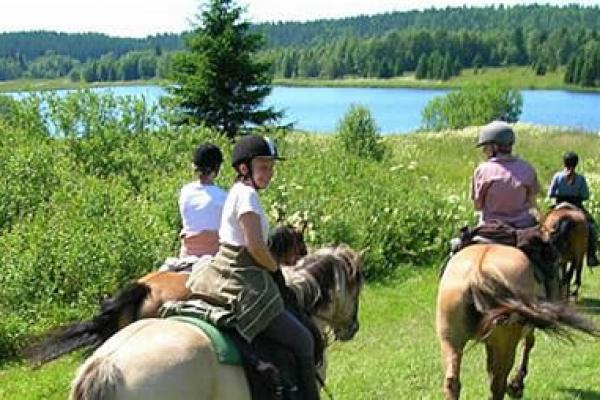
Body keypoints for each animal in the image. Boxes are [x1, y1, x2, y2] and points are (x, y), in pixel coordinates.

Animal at [436, 244, 600, 400]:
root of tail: (478, 272)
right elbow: (528, 345)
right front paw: (516, 385)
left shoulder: (491, 342)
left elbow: (490, 364)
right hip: (506, 343)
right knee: (498, 384)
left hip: (451, 341)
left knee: (452, 382)